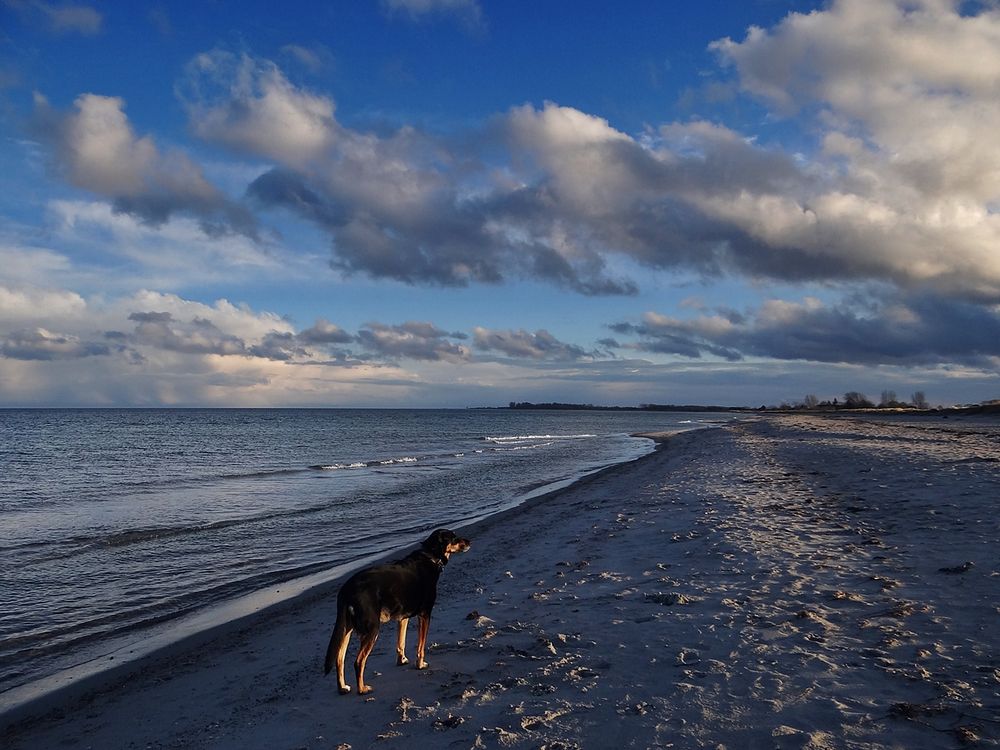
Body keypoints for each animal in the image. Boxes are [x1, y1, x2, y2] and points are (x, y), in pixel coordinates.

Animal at [324, 528, 472, 700]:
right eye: (453, 537)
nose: (469, 541)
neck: (429, 556)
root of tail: (347, 589)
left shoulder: (403, 617)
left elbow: (401, 642)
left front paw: (402, 660)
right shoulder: (425, 615)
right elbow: (421, 646)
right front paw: (420, 665)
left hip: (346, 629)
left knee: (339, 660)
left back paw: (342, 688)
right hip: (372, 629)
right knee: (358, 661)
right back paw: (362, 689)